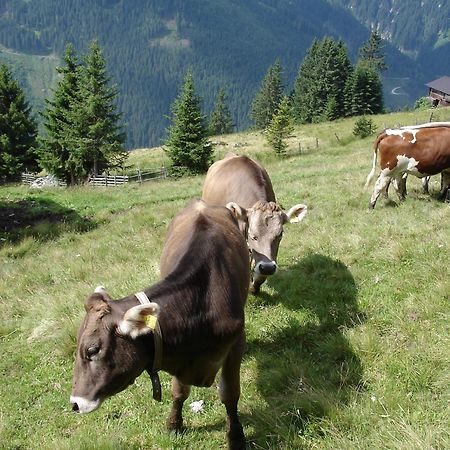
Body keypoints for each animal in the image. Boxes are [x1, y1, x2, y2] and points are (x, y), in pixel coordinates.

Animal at [72, 200, 251, 450]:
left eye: (92, 350)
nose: (75, 403)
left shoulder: (235, 344)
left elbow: (230, 394)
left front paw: (235, 437)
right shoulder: (177, 353)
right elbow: (179, 392)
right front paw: (174, 424)